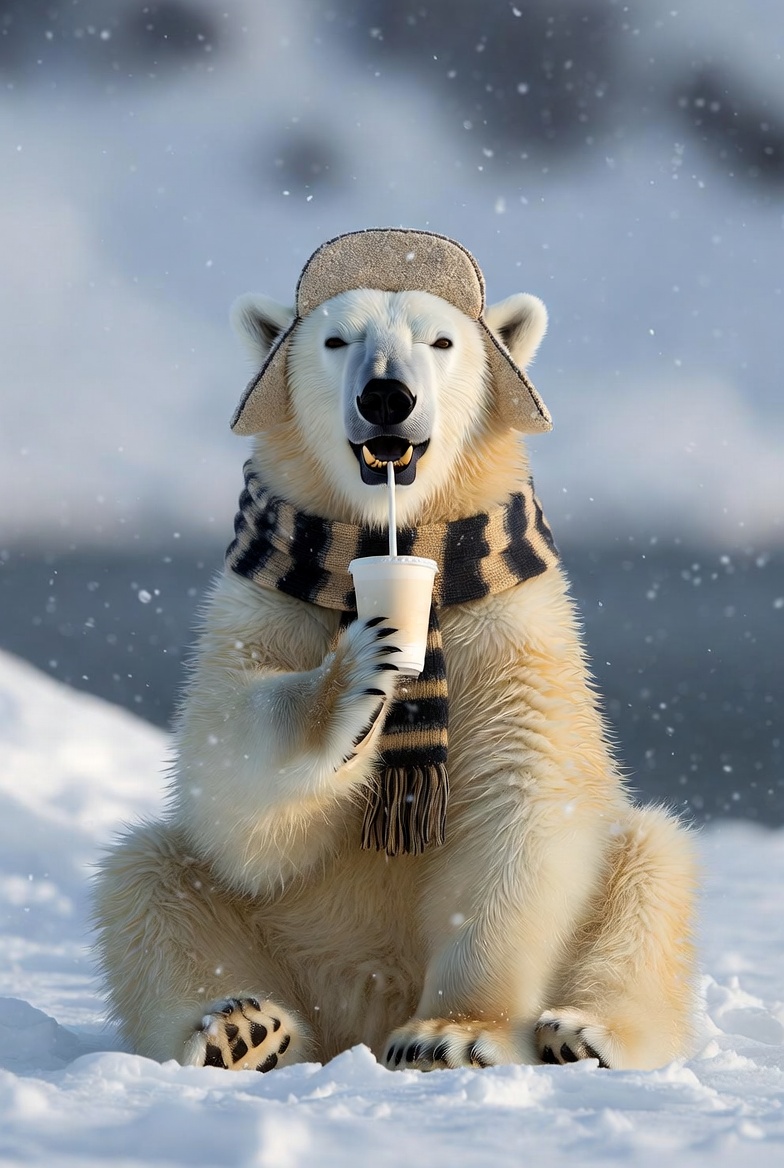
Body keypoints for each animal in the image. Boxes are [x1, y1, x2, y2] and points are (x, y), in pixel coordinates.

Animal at [93, 228, 697, 1074]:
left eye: (440, 341)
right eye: (336, 339)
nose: (386, 397)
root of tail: (359, 1019)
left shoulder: (511, 630)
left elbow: (518, 801)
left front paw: (452, 1035)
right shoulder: (260, 605)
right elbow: (229, 780)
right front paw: (355, 681)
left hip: (627, 877)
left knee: (652, 868)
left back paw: (583, 1034)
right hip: (278, 940)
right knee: (147, 878)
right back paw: (242, 1030)